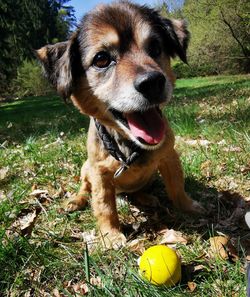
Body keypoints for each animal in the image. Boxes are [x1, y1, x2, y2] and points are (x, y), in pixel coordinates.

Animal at [36, 1, 203, 247]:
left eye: (155, 47)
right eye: (101, 59)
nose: (153, 82)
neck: (128, 145)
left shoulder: (169, 156)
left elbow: (177, 187)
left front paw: (188, 206)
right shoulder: (99, 174)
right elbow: (104, 206)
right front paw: (111, 235)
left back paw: (146, 197)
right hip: (85, 169)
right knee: (84, 188)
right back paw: (76, 200)